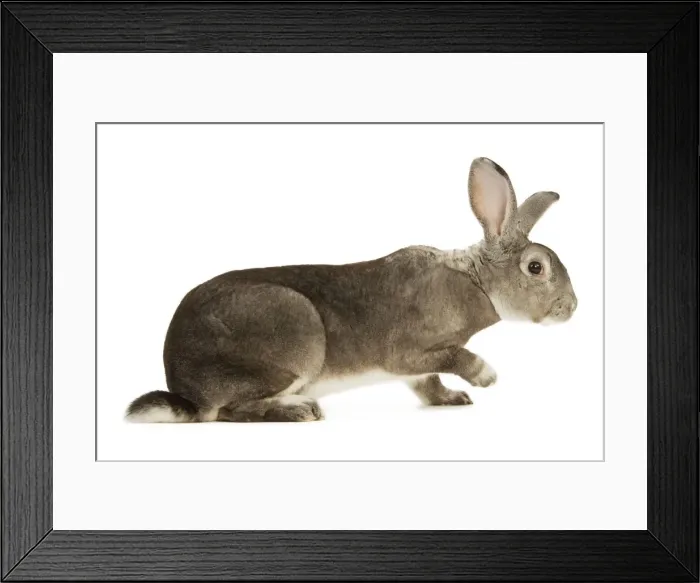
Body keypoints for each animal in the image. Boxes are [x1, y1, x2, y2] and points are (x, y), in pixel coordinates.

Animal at [126, 157, 577, 423]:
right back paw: (301, 411)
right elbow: (451, 357)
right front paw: (486, 376)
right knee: (230, 411)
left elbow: (427, 383)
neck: (476, 281)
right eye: (536, 267)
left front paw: (452, 399)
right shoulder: (407, 352)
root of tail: (186, 392)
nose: (571, 307)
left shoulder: (418, 368)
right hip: (293, 342)